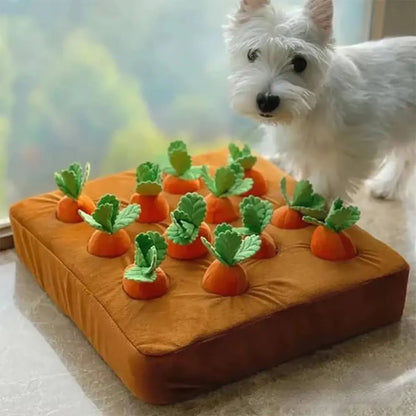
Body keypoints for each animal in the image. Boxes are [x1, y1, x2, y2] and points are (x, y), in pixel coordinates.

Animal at [226, 0, 414, 202]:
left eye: (300, 62)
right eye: (252, 54)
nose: (266, 101)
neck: (309, 108)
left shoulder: (353, 148)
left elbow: (329, 180)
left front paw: (315, 201)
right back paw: (386, 187)